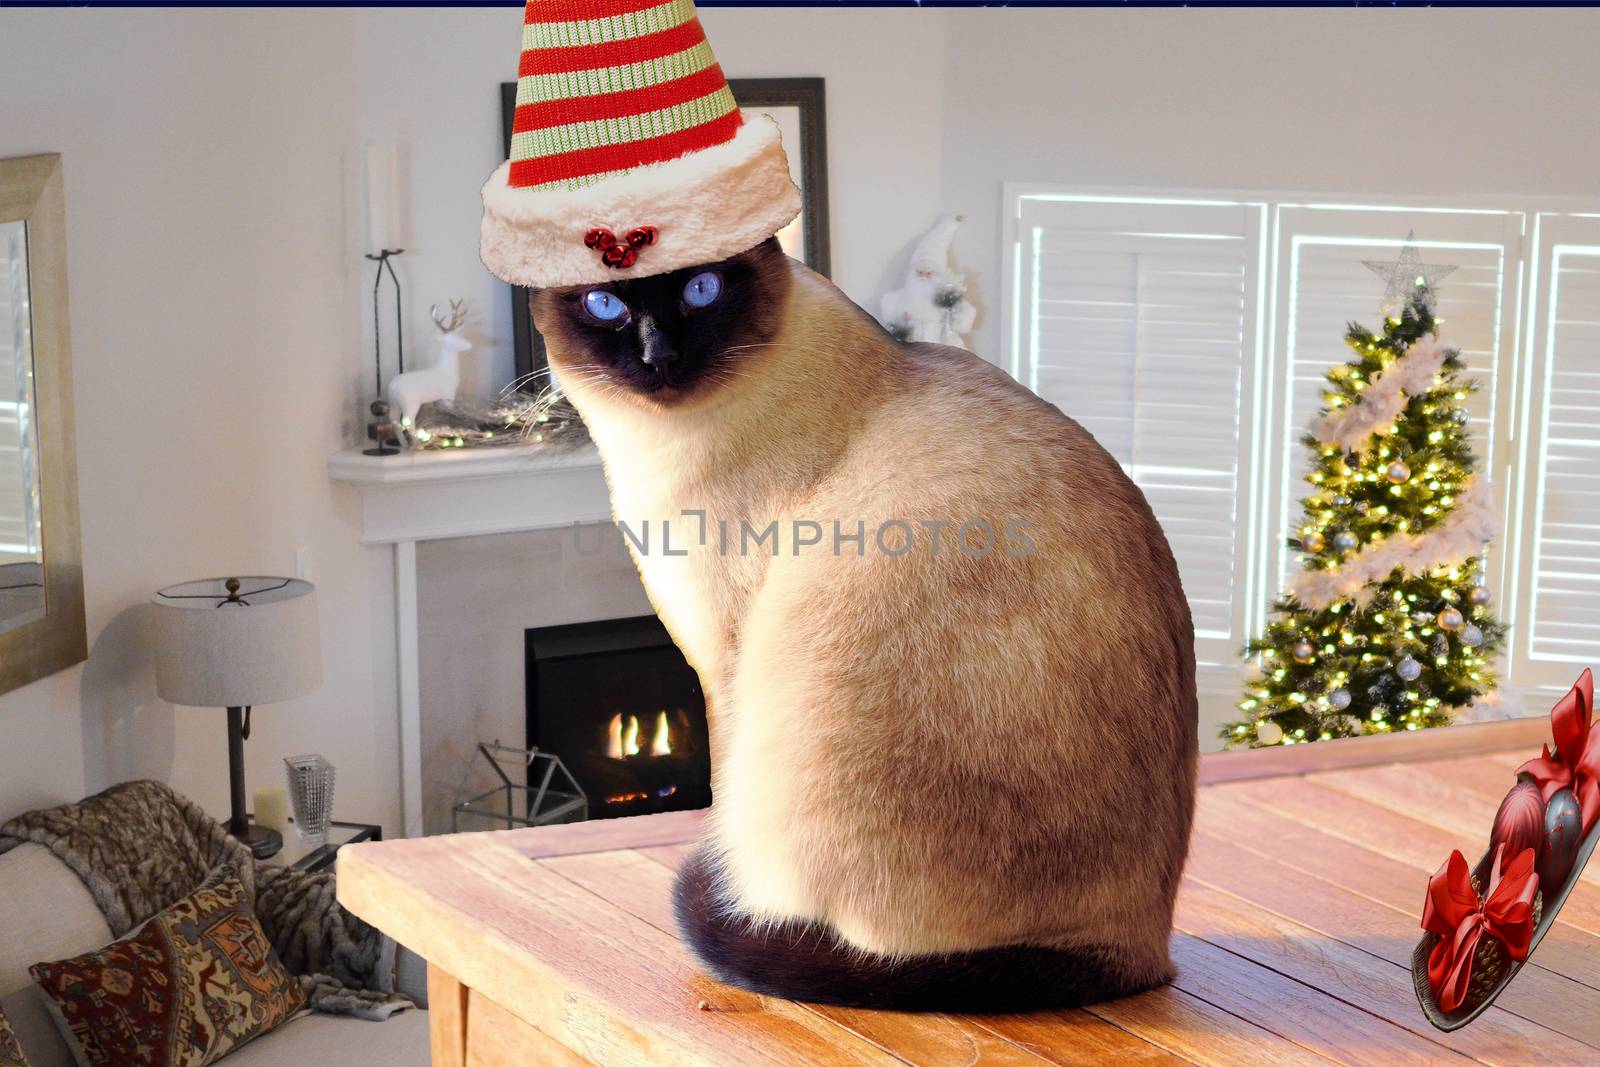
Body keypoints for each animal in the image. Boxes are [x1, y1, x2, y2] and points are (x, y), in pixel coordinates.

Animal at [531, 238, 1196, 1017]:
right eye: (605, 302)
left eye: (702, 289)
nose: (659, 355)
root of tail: (1143, 951)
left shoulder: (723, 661)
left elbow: (720, 792)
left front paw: (730, 886)